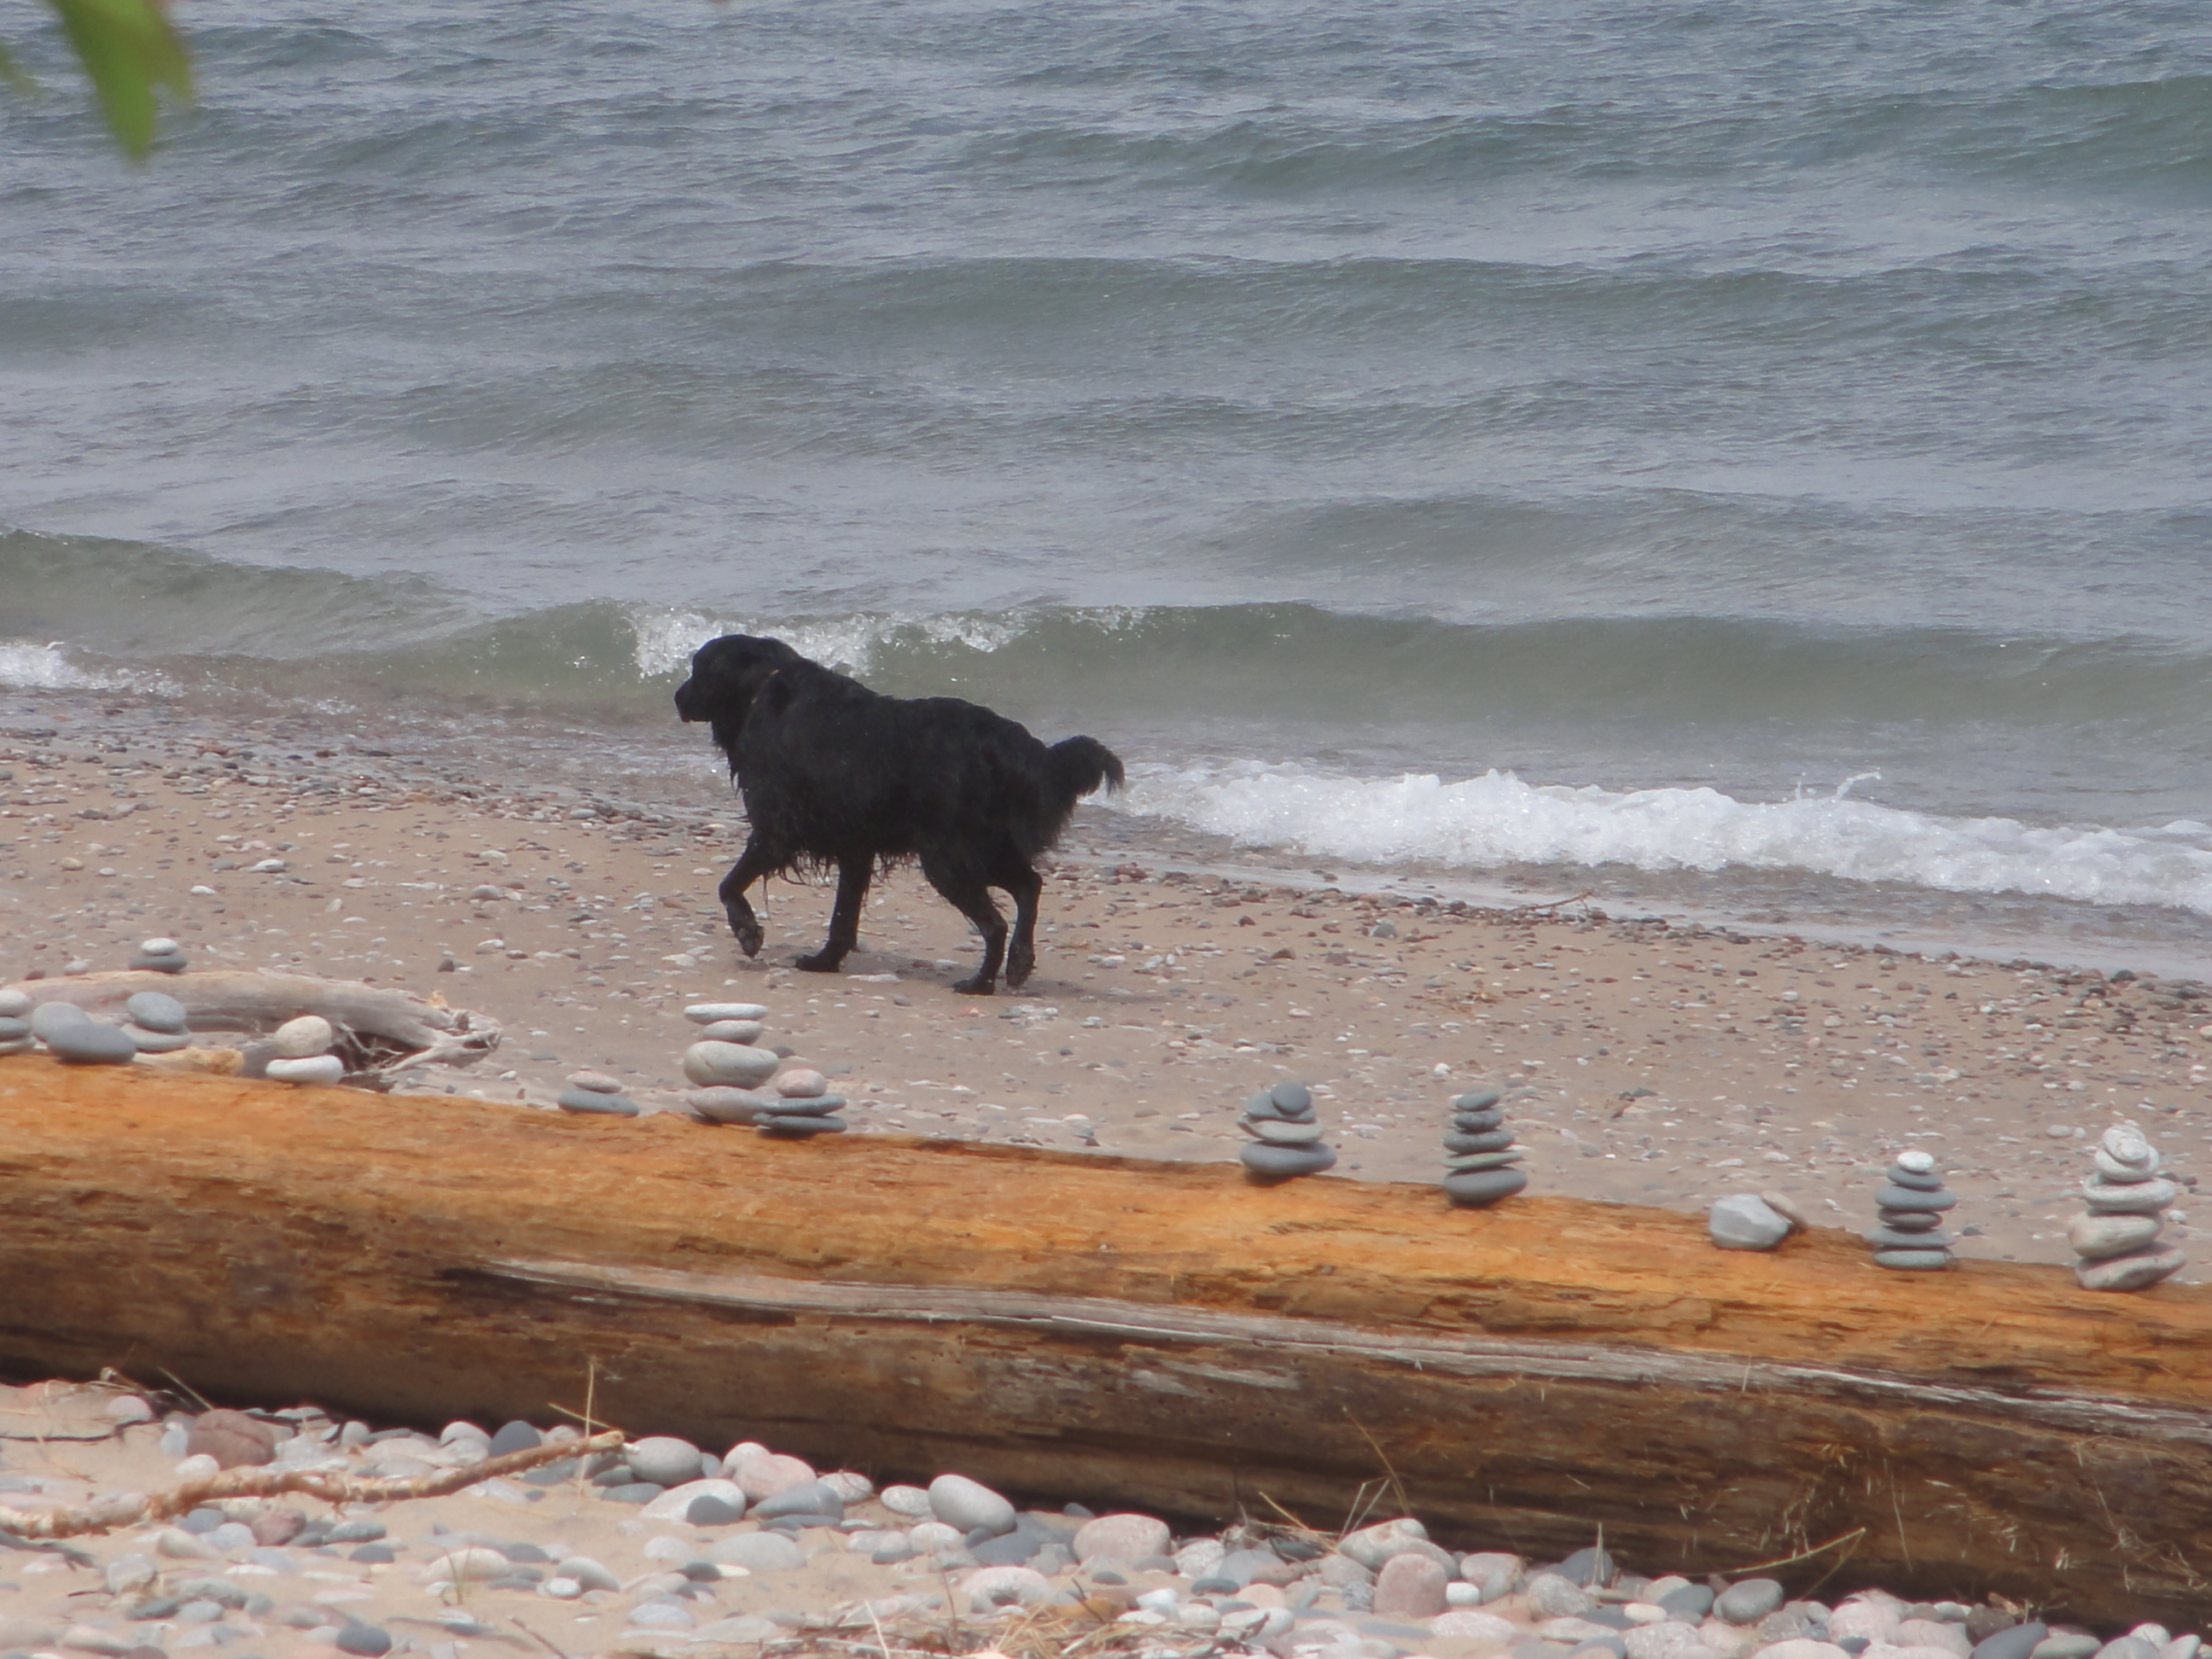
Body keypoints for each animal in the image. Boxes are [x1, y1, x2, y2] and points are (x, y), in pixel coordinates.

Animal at [674, 634, 1124, 994]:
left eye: (698, 668)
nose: (677, 698)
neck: (764, 685)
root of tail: (1008, 742)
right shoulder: (855, 848)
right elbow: (843, 917)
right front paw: (825, 961)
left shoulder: (777, 830)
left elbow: (729, 885)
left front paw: (747, 930)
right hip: (979, 848)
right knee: (1030, 885)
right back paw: (1019, 961)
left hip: (948, 856)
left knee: (997, 921)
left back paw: (980, 982)